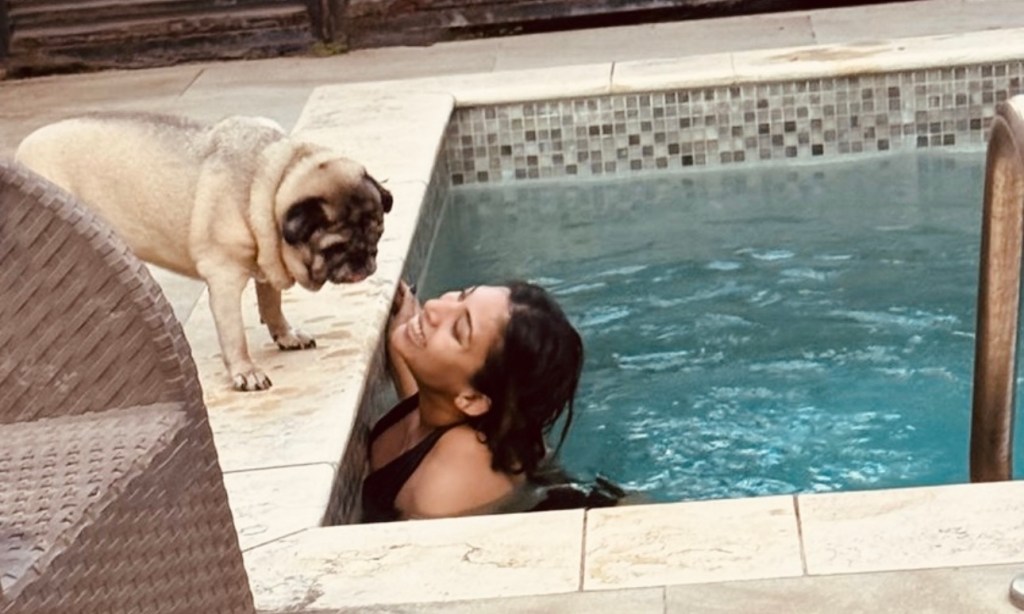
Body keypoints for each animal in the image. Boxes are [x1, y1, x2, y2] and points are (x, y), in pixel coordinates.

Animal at [15, 112, 393, 391]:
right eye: (335, 248)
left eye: (377, 233)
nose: (364, 260)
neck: (270, 180)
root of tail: (20, 152)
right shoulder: (224, 278)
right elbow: (234, 335)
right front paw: (245, 371)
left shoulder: (268, 259)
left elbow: (271, 305)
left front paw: (285, 335)